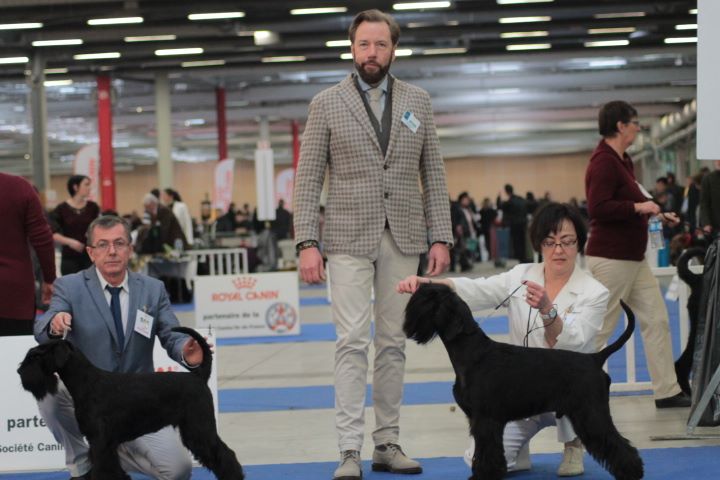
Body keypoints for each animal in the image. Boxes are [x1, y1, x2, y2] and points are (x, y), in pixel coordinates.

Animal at [17, 326, 245, 480]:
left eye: (36, 356)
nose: (20, 371)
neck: (87, 382)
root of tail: (198, 376)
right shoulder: (106, 444)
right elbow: (112, 470)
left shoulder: (99, 442)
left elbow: (102, 471)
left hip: (199, 429)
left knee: (225, 455)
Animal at [402, 284, 644, 480]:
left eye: (425, 298)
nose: (406, 323)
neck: (472, 352)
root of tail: (595, 358)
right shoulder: (480, 421)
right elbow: (484, 451)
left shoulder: (486, 419)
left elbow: (487, 451)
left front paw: (484, 475)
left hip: (592, 414)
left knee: (618, 444)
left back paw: (632, 472)